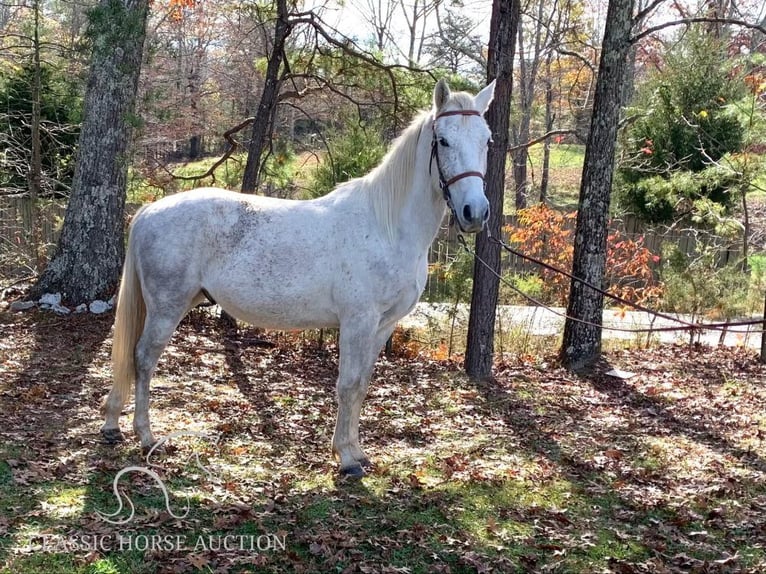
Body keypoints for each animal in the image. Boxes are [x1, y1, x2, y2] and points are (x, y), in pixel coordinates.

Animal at [102, 80, 496, 476]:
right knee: (143, 358)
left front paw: (357, 452)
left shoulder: (383, 325)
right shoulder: (357, 322)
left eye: (487, 140)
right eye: (443, 141)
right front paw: (346, 459)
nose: (475, 213)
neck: (387, 226)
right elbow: (348, 385)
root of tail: (149, 210)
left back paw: (112, 426)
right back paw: (146, 435)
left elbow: (362, 385)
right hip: (167, 307)